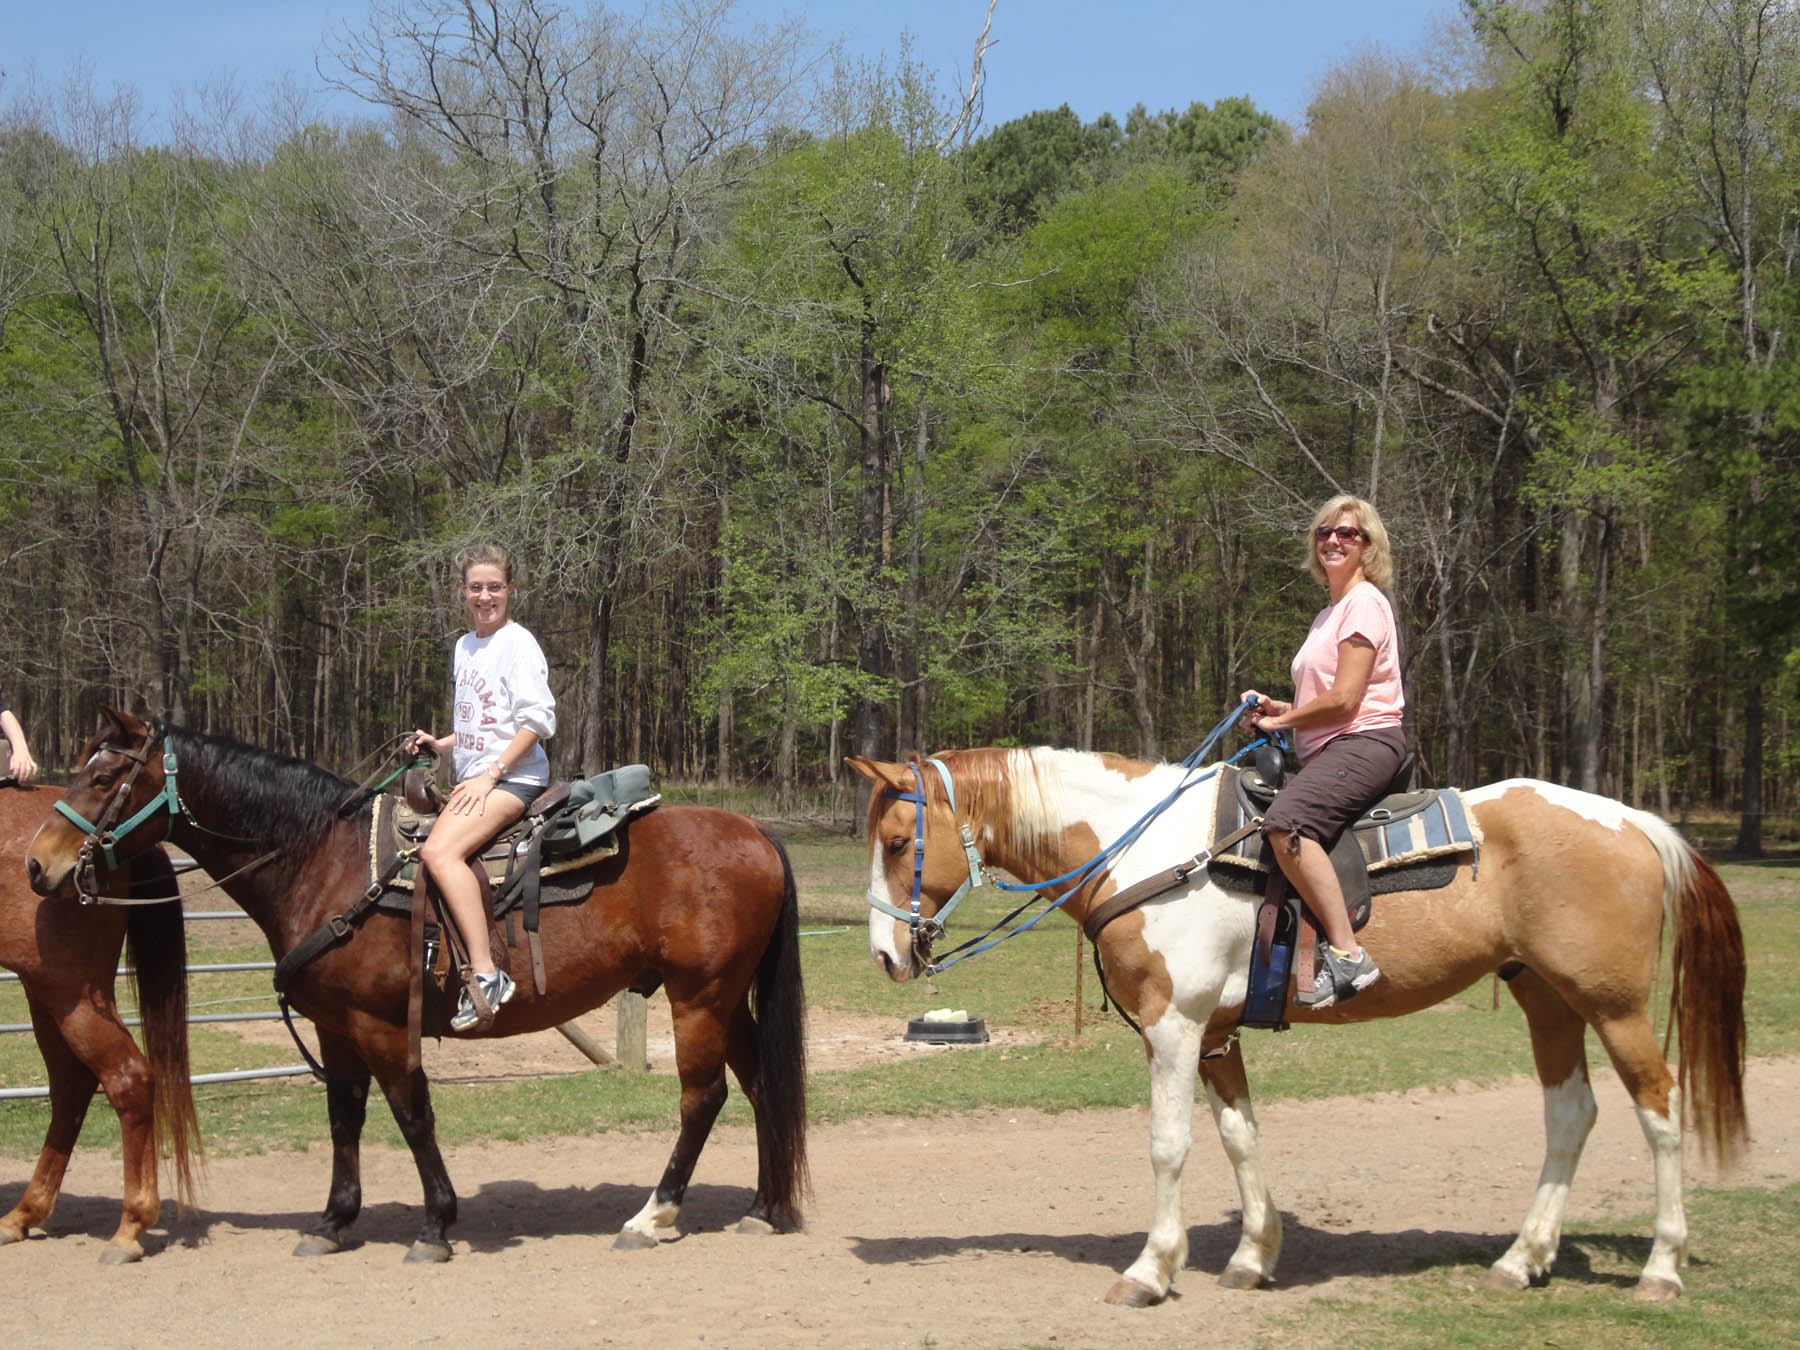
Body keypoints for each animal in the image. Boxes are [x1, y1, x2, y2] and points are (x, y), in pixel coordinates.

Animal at [0, 777, 198, 1267]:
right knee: (72, 1084)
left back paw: (131, 1226)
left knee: (127, 1078)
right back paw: (24, 1213)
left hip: (67, 994)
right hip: (47, 994)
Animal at [28, 712, 810, 1267]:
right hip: (725, 999)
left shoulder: (379, 1025)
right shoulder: (335, 1025)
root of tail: (756, 834)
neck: (326, 861)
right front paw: (333, 1221)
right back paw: (766, 1209)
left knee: (702, 1098)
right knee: (761, 1086)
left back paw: (653, 1216)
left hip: (699, 997)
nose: (38, 865)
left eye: (105, 776)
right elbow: (345, 1119)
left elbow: (411, 1116)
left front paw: (436, 1224)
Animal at [849, 752, 1749, 1310]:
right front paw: (1252, 1258)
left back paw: (1662, 1268)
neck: (1143, 849)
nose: (886, 955)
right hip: (1545, 997)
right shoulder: (1217, 1033)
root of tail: (1631, 821)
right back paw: (1521, 1260)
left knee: (1660, 1107)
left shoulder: (1174, 1028)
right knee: (1570, 1114)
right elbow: (1240, 1137)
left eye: (896, 842)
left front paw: (1150, 1270)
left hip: (1612, 1005)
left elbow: (1169, 1146)